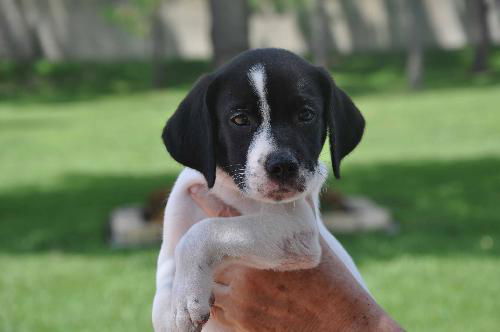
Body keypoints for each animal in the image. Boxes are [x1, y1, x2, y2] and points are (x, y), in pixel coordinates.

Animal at [152, 47, 368, 332]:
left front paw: (188, 298)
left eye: (306, 115)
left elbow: (203, 231)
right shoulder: (171, 242)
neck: (230, 189)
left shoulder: (298, 227)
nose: (283, 166)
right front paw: (179, 304)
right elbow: (165, 285)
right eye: (240, 119)